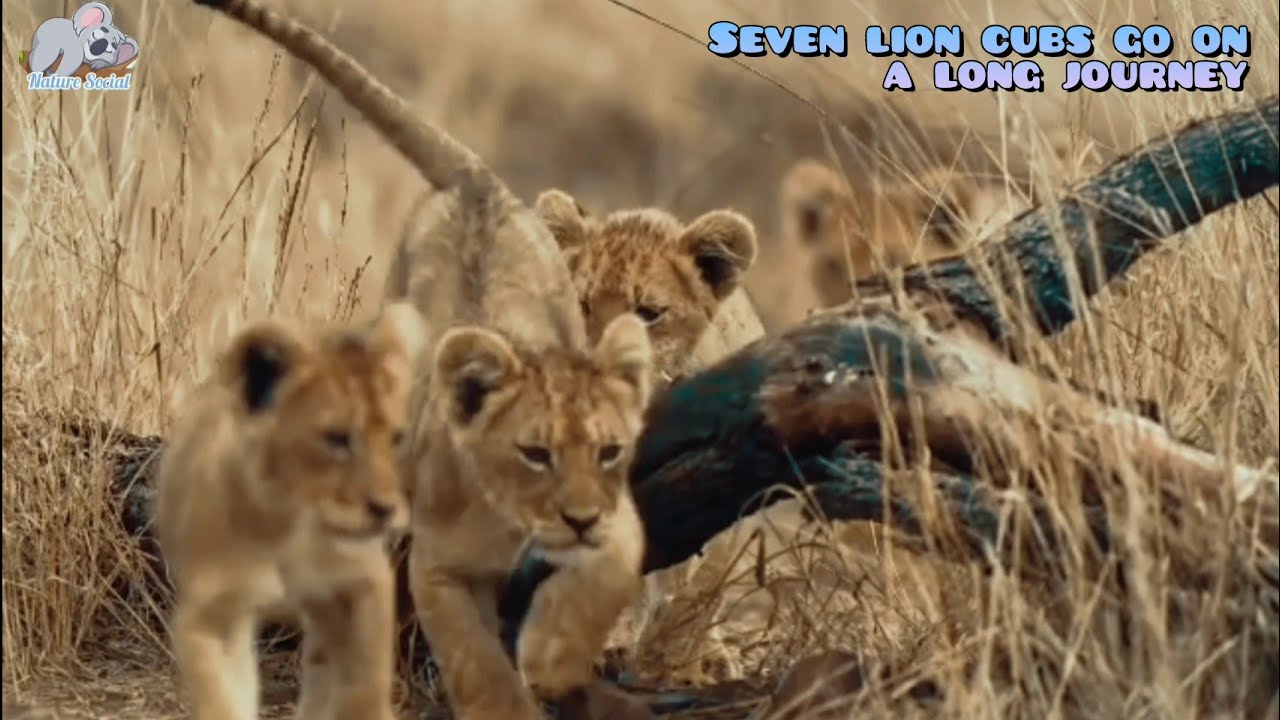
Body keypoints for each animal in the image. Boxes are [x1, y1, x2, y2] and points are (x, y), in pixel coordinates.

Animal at [154, 301, 427, 720]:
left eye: (396, 437)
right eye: (337, 438)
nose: (385, 508)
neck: (290, 527)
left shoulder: (364, 582)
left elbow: (364, 683)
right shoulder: (211, 615)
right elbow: (222, 699)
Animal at [190, 1, 656, 718]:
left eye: (609, 452)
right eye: (534, 454)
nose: (578, 520)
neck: (513, 522)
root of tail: (477, 182)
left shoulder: (621, 521)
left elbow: (595, 585)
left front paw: (552, 661)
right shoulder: (437, 566)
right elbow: (477, 663)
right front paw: (509, 701)